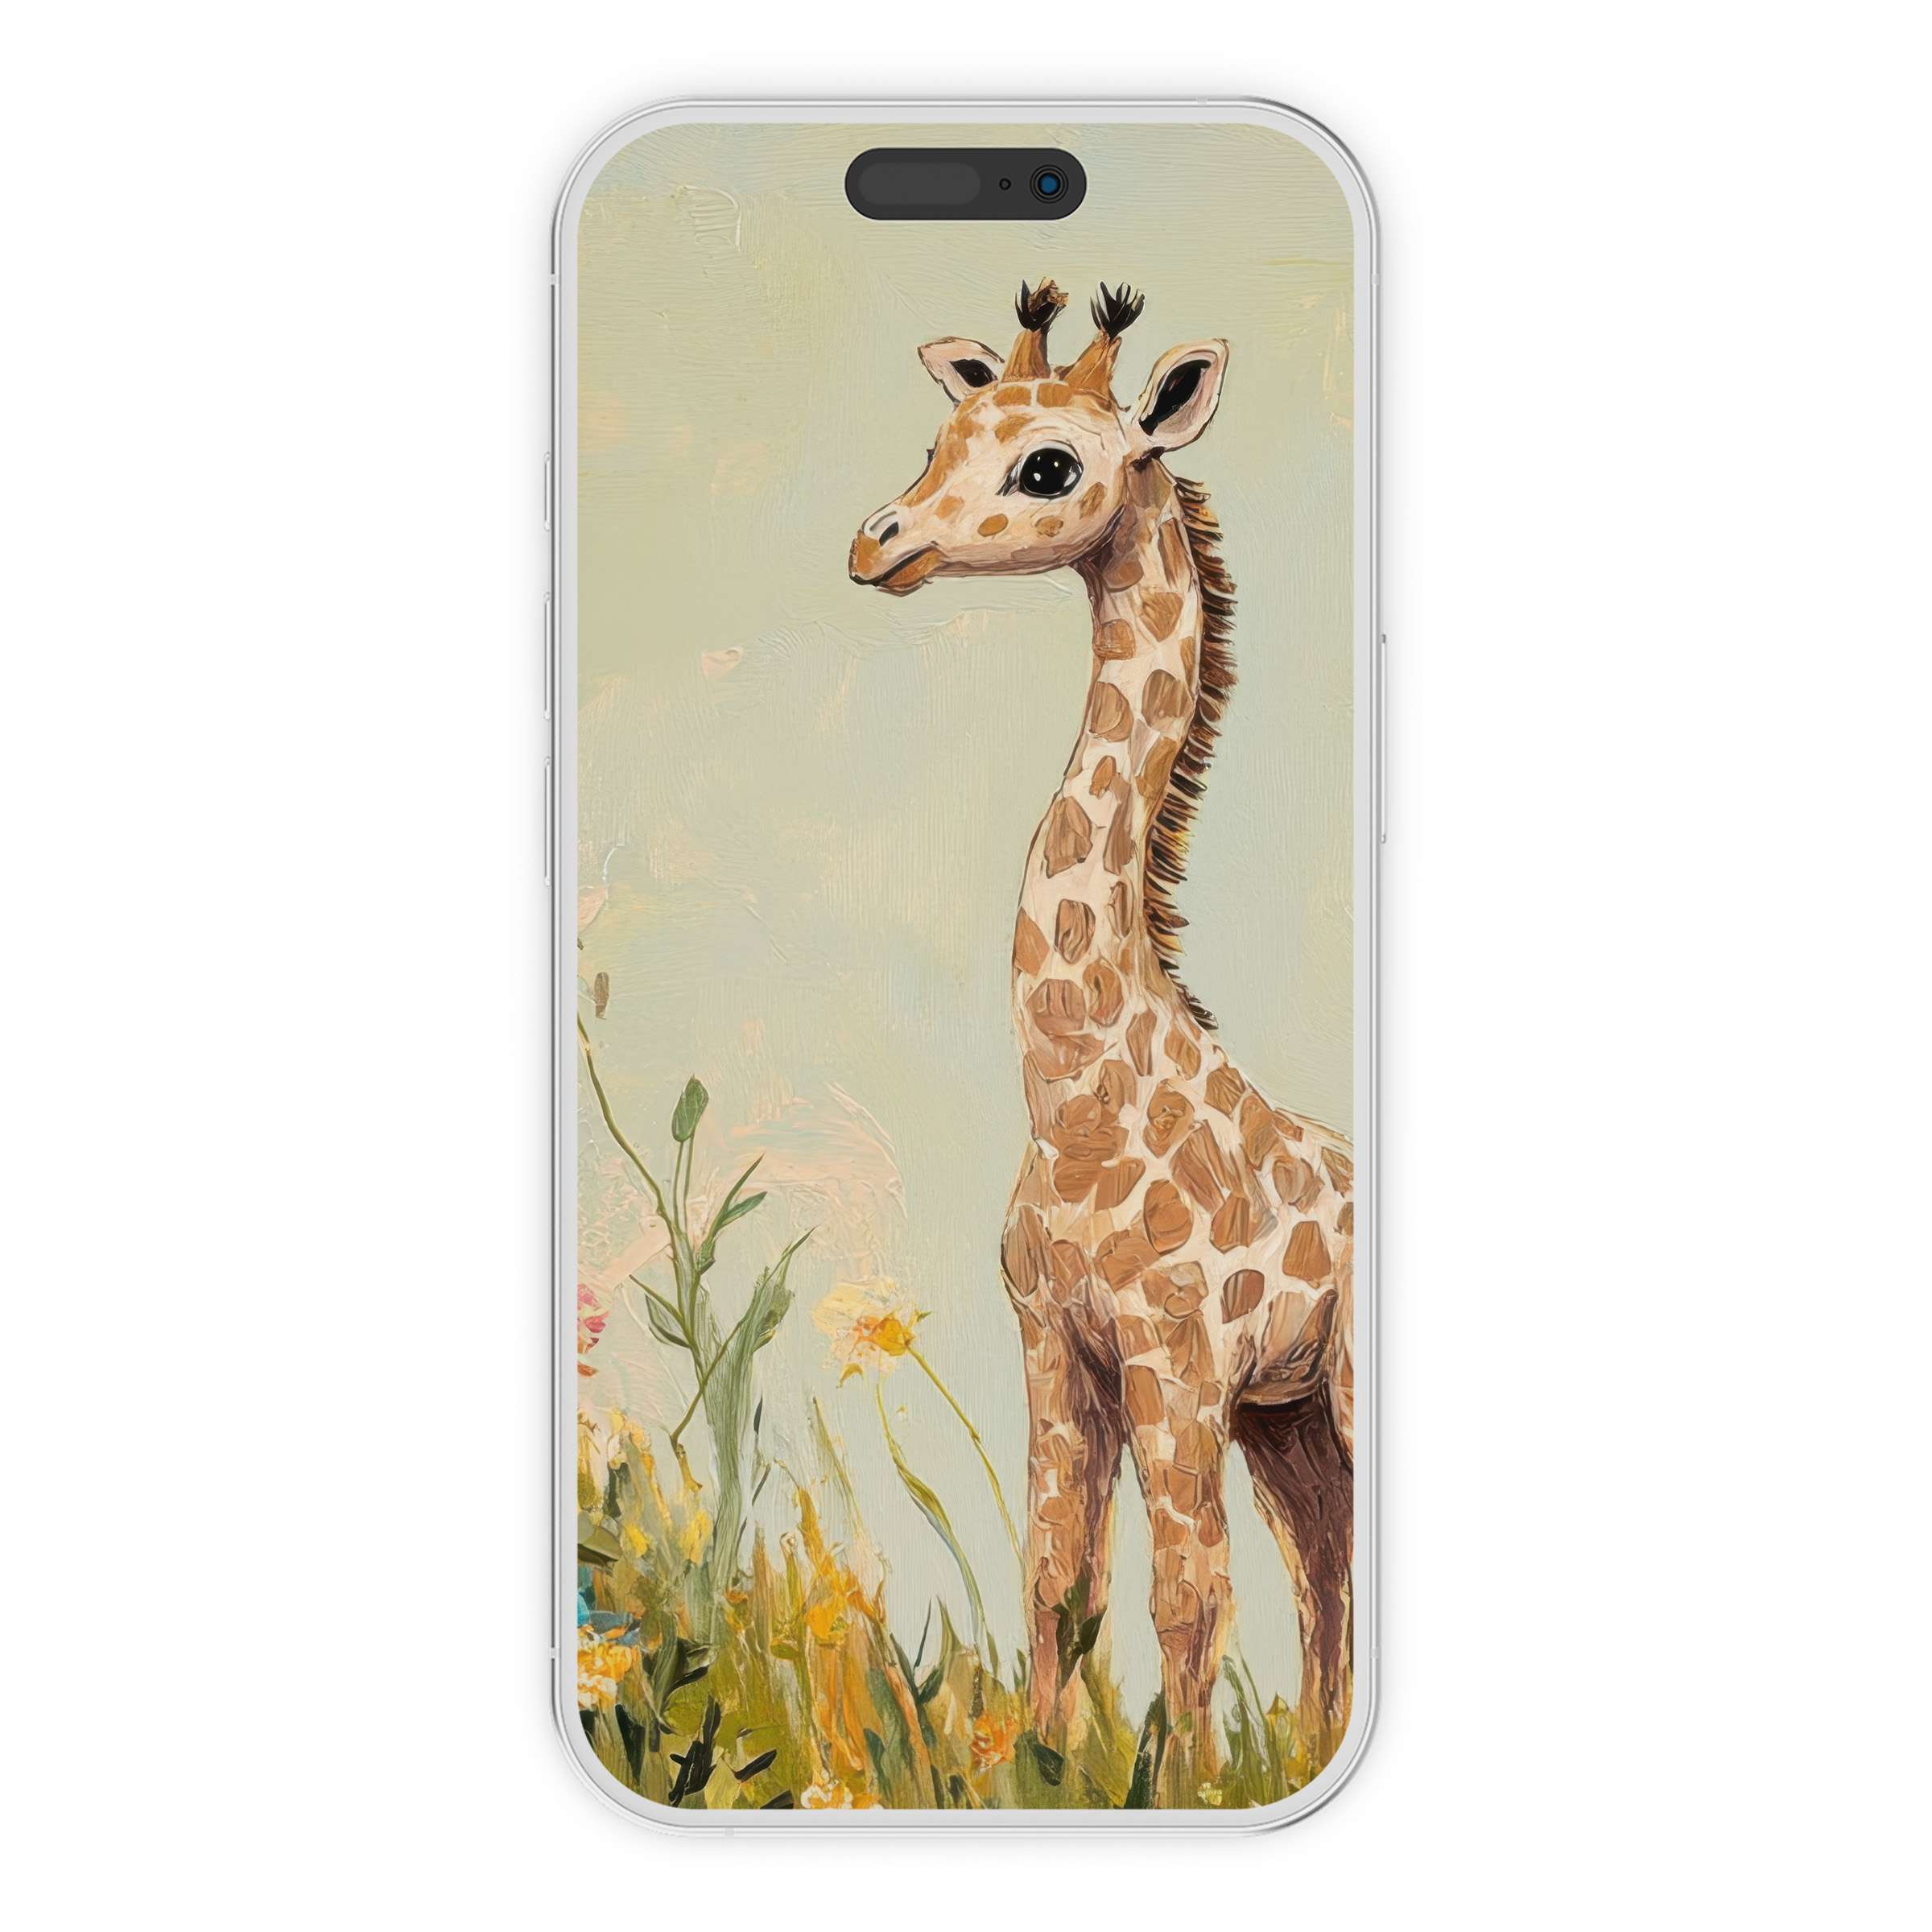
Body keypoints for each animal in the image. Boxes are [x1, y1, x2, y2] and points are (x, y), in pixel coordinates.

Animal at [850, 280, 1354, 1779]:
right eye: (942, 437)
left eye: (1048, 468)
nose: (876, 543)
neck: (1077, 1091)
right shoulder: (1057, 1347)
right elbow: (1056, 1573)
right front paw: (1052, 1768)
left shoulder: (1174, 1355)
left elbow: (1185, 1590)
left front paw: (1180, 1787)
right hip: (1288, 1417)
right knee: (1326, 1567)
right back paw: (1311, 1751)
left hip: (1327, 1390)